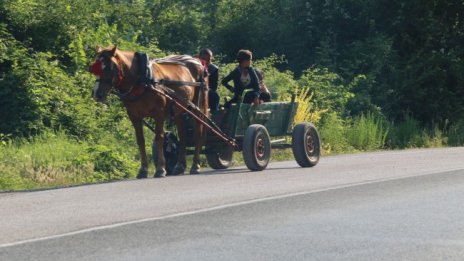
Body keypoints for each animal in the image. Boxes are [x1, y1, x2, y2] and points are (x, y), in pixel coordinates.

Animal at [89, 45, 208, 178]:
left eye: (109, 67)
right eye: (95, 67)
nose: (96, 94)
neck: (143, 79)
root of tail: (197, 62)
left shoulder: (159, 113)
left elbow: (159, 137)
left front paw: (160, 169)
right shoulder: (134, 116)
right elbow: (140, 140)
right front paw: (143, 169)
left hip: (198, 106)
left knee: (198, 132)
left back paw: (195, 165)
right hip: (179, 109)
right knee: (182, 136)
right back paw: (179, 166)